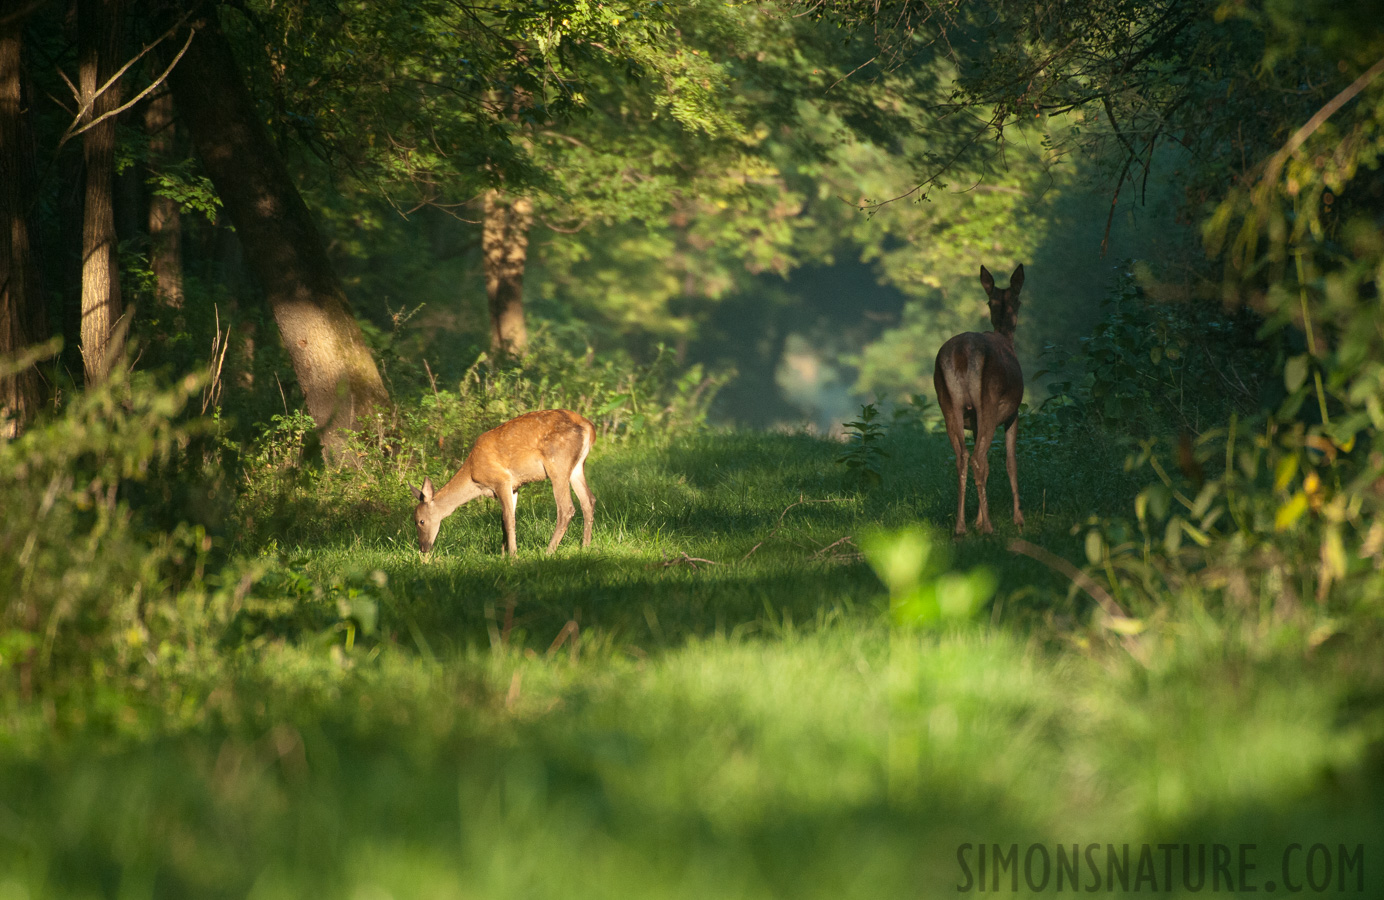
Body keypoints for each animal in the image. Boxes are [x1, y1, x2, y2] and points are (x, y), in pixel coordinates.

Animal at [415, 407, 600, 553]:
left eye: (420, 521)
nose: (423, 548)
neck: (474, 477)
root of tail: (589, 427)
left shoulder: (501, 479)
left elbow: (508, 518)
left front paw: (512, 554)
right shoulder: (514, 486)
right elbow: (505, 518)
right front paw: (503, 552)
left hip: (557, 463)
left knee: (566, 508)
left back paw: (549, 550)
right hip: (577, 467)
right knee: (588, 500)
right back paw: (585, 547)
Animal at [935, 264, 1024, 531]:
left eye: (990, 301)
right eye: (1018, 300)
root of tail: (962, 354)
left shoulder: (972, 422)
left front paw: (977, 519)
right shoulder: (1014, 412)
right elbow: (1011, 462)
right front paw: (1018, 518)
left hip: (948, 404)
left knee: (962, 457)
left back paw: (960, 527)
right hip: (988, 402)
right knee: (977, 458)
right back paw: (989, 528)